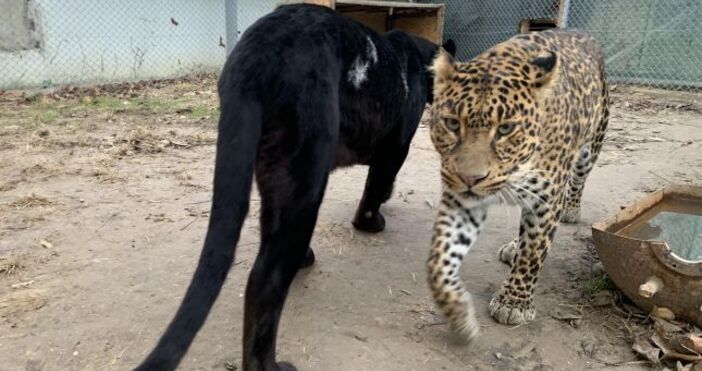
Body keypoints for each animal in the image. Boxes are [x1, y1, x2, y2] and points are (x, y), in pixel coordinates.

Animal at [424, 30, 612, 342]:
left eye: (505, 129)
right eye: (451, 123)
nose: (470, 178)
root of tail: (584, 35)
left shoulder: (547, 198)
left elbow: (533, 252)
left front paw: (514, 303)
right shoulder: (461, 201)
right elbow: (441, 256)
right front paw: (457, 310)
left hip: (592, 144)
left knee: (579, 179)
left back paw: (571, 210)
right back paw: (513, 245)